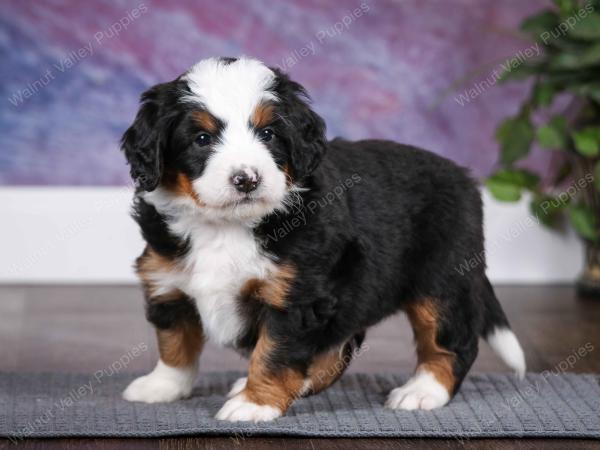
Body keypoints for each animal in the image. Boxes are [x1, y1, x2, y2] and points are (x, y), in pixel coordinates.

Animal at [120, 56, 524, 422]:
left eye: (268, 134)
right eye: (202, 139)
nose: (247, 179)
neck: (226, 226)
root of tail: (463, 176)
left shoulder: (295, 297)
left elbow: (274, 354)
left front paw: (256, 404)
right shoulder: (168, 281)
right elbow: (175, 342)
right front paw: (163, 386)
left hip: (441, 280)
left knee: (451, 342)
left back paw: (423, 391)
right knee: (340, 347)